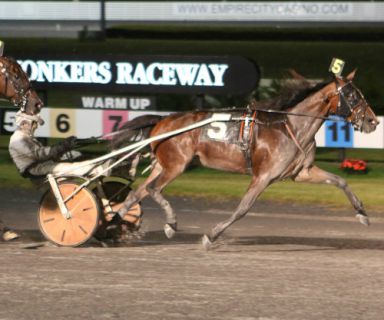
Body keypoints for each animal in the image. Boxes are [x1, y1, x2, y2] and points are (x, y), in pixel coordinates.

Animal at [117, 70, 378, 250]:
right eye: (352, 95)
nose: (373, 121)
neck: (291, 125)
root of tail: (161, 121)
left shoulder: (301, 172)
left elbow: (340, 181)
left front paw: (362, 213)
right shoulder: (263, 176)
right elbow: (243, 208)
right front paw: (211, 236)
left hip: (163, 165)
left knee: (136, 194)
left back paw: (116, 223)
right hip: (176, 165)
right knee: (153, 189)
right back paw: (170, 224)